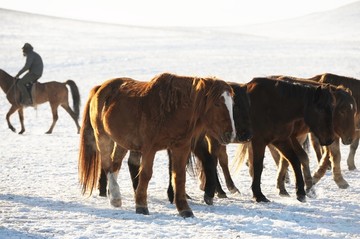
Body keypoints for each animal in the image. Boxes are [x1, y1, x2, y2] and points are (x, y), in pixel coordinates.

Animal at [78, 73, 236, 218]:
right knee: (107, 165)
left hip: (122, 142)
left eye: (232, 104)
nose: (230, 134)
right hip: (102, 137)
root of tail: (100, 88)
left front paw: (184, 209)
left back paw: (113, 194)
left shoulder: (181, 148)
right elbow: (146, 174)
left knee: (115, 163)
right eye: (217, 103)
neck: (173, 109)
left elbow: (179, 176)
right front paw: (141, 206)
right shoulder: (149, 148)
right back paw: (116, 197)